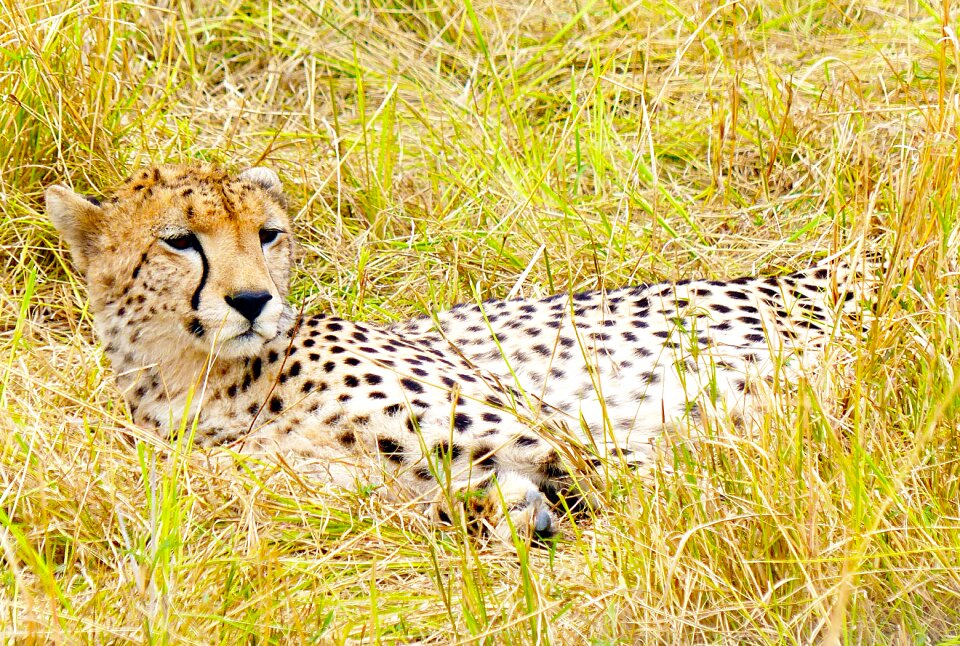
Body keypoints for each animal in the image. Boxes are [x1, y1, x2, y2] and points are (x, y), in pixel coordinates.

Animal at [43, 165, 872, 544]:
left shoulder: (568, 440)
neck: (202, 381)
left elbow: (647, 492)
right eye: (180, 241)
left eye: (268, 235)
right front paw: (505, 514)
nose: (252, 301)